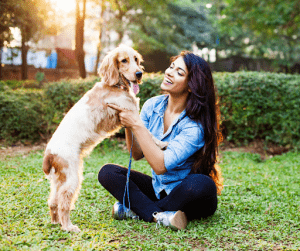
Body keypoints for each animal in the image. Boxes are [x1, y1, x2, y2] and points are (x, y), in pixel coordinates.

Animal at [42, 44, 168, 232]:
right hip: (72, 178)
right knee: (64, 202)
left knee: (53, 201)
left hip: (59, 179)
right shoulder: (129, 112)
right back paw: (69, 227)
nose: (139, 74)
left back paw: (56, 222)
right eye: (124, 60)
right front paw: (161, 143)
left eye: (136, 59)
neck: (115, 86)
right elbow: (149, 133)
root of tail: (49, 153)